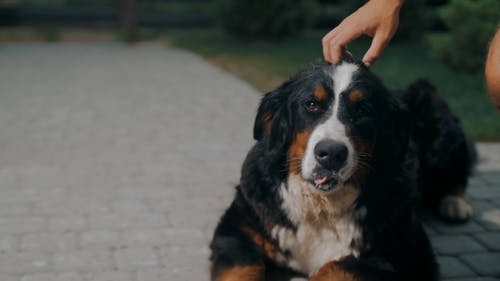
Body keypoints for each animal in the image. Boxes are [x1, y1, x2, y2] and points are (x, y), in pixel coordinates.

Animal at [209, 61, 474, 280]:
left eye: (363, 110)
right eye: (311, 105)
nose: (331, 153)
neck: (320, 207)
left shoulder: (409, 254)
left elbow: (337, 265)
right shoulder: (237, 230)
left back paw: (455, 203)